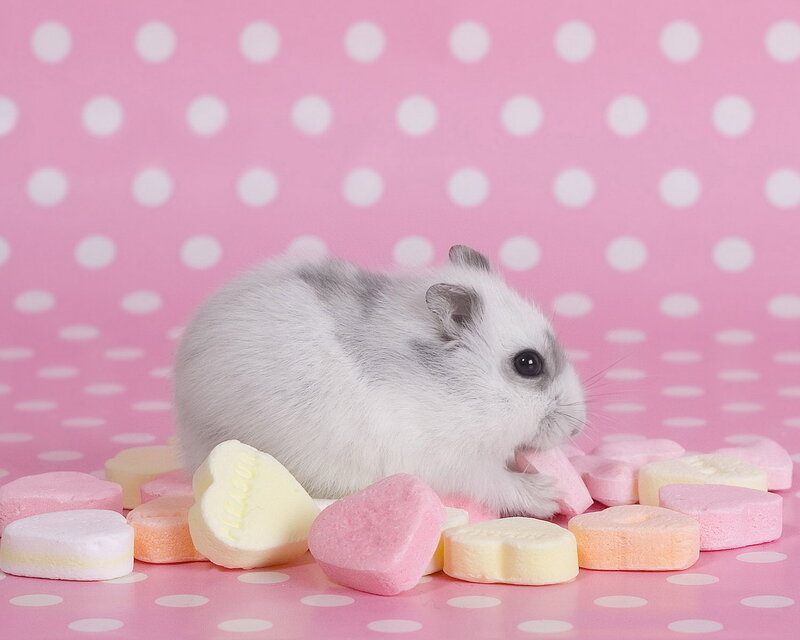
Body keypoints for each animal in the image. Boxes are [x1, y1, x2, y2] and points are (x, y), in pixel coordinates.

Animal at [174, 245, 586, 518]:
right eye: (528, 363)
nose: (578, 429)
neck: (456, 393)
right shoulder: (450, 463)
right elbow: (494, 481)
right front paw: (549, 493)